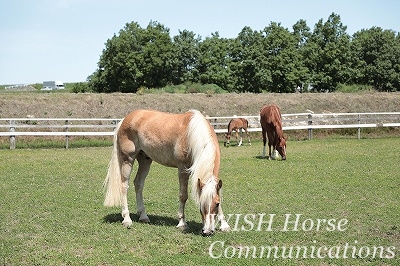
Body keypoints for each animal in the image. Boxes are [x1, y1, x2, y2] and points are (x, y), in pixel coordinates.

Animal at [103, 109, 231, 236]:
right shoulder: (182, 170)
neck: (191, 135)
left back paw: (143, 216)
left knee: (138, 184)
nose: (208, 231)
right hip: (127, 160)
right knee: (124, 186)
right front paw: (182, 223)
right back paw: (127, 219)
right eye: (201, 203)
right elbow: (183, 196)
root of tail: (125, 119)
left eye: (217, 204)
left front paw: (225, 225)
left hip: (145, 160)